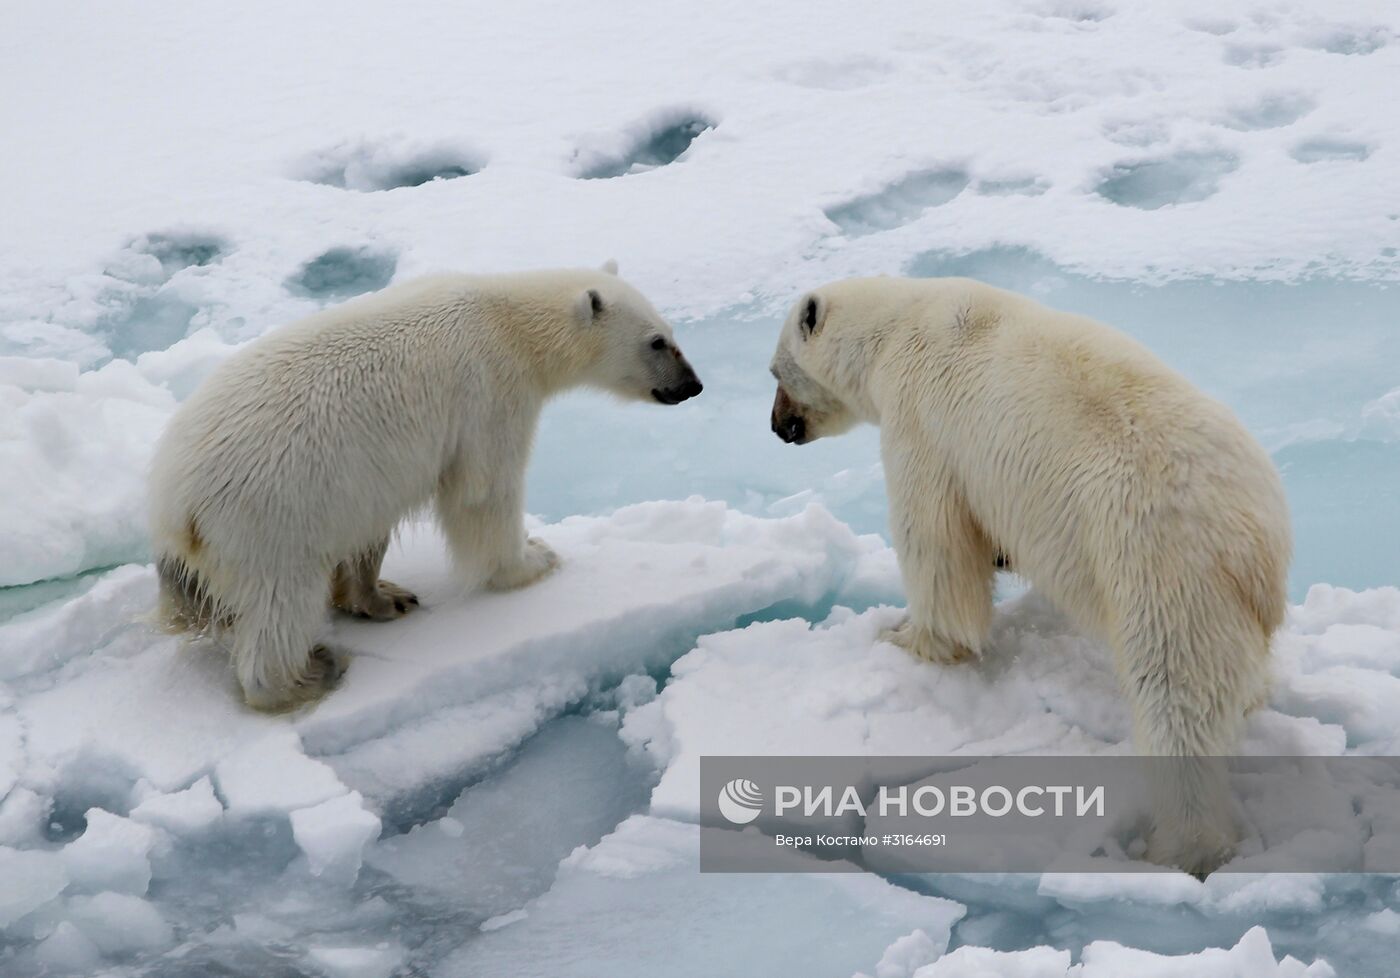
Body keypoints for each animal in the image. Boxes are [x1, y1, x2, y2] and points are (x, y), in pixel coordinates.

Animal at [147, 264, 705, 710]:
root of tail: (176, 503)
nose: (693, 385)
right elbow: (485, 491)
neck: (509, 321)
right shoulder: (491, 390)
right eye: (657, 341)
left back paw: (382, 597)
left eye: (672, 331)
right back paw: (307, 675)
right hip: (272, 512)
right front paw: (533, 559)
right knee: (280, 602)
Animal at [772, 275, 1293, 873]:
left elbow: (937, 546)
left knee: (1176, 698)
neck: (899, 324)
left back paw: (1177, 848)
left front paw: (903, 637)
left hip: (1160, 562)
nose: (778, 427)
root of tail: (1256, 539)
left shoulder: (921, 420)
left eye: (776, 374)